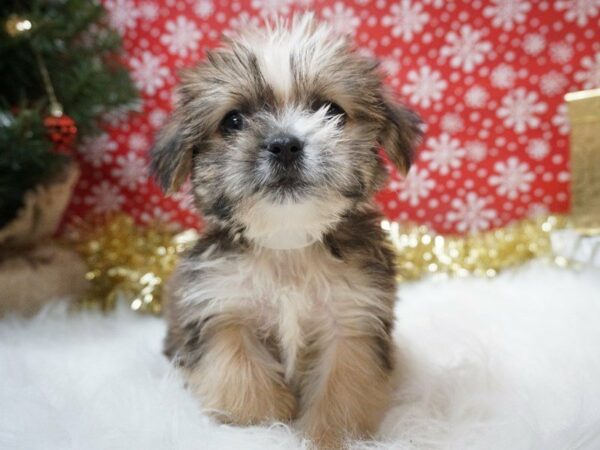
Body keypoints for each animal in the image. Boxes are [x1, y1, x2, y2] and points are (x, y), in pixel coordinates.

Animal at [150, 14, 422, 450]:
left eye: (330, 109)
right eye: (233, 121)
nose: (284, 145)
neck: (287, 245)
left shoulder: (352, 319)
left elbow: (341, 389)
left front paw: (328, 435)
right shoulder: (221, 310)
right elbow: (244, 384)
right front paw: (262, 430)